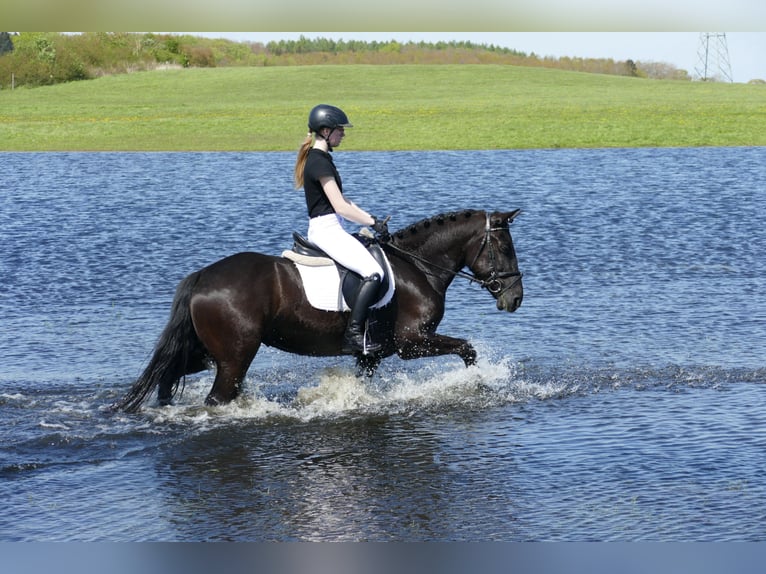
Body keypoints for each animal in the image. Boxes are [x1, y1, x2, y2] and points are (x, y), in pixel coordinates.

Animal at [114, 210, 520, 414]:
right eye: (504, 247)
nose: (515, 298)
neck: (417, 266)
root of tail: (202, 277)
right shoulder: (412, 342)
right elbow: (468, 349)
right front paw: (477, 383)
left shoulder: (373, 354)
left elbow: (360, 384)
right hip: (234, 357)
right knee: (216, 398)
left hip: (206, 351)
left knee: (169, 374)